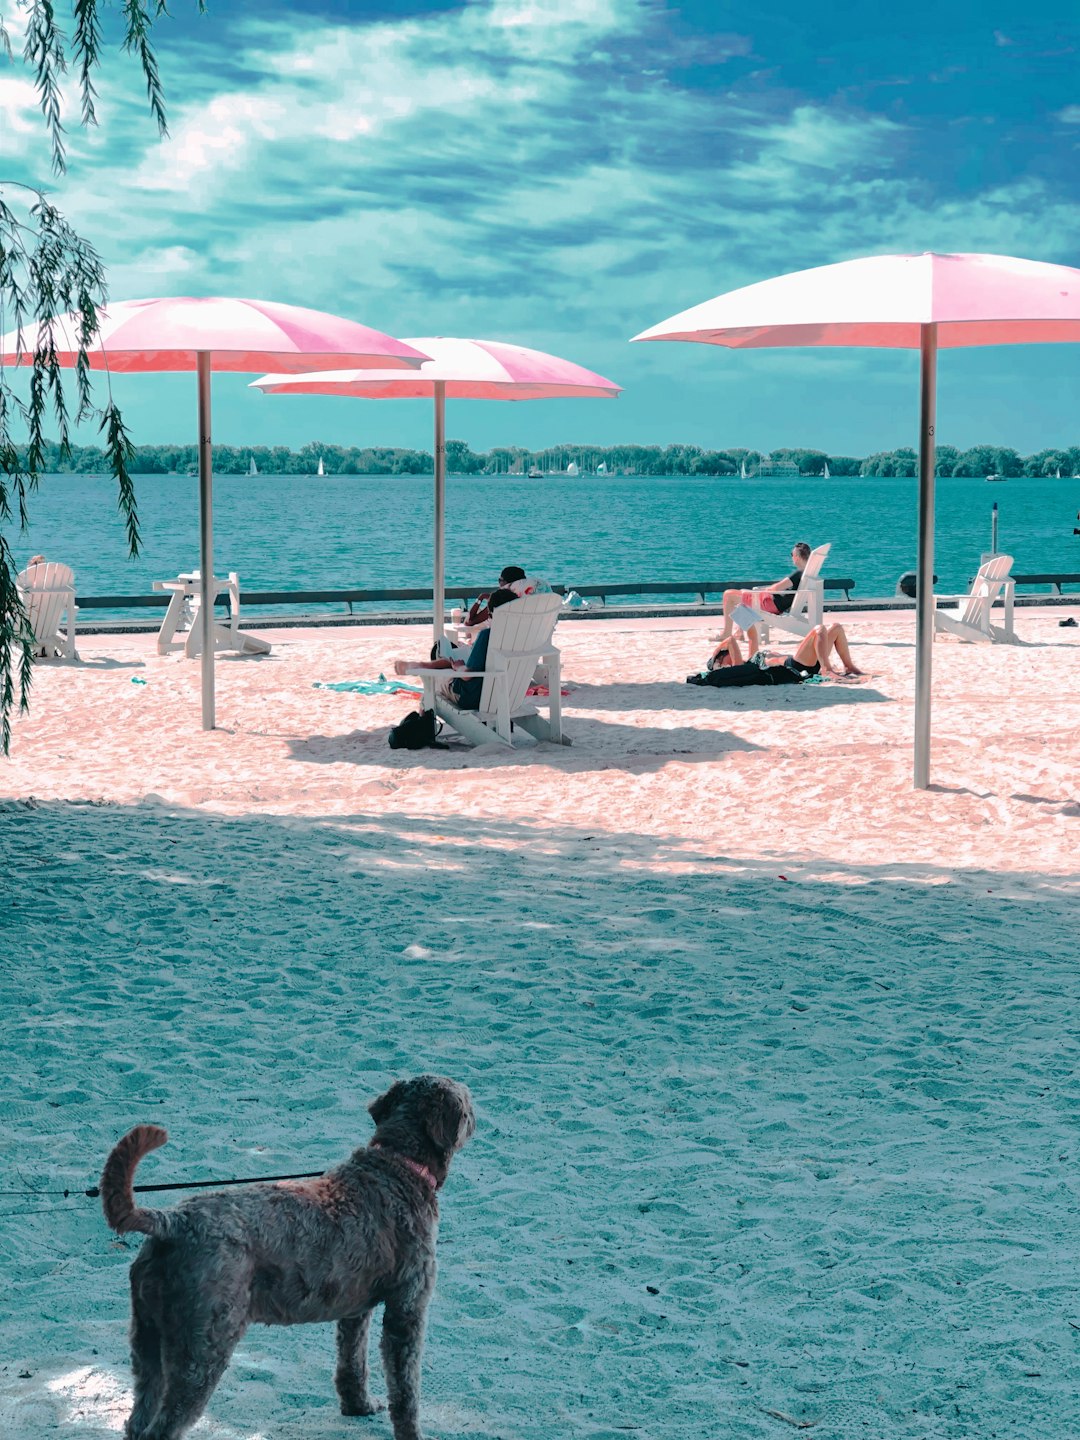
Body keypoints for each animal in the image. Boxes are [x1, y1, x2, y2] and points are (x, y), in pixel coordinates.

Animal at [100, 1077, 472, 1440]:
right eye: (468, 1104)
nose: (474, 1116)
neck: (398, 1165)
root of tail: (172, 1222)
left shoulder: (355, 1310)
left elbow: (353, 1363)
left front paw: (358, 1406)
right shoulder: (407, 1309)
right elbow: (406, 1390)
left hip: (148, 1337)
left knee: (137, 1420)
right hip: (202, 1348)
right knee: (163, 1426)